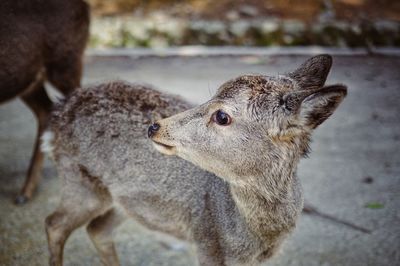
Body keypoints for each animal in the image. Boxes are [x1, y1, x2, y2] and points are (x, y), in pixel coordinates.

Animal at [43, 54, 346, 266]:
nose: (155, 126)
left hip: (123, 200)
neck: (252, 239)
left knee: (97, 229)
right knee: (54, 223)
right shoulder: (207, 240)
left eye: (222, 116)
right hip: (80, 181)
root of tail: (58, 111)